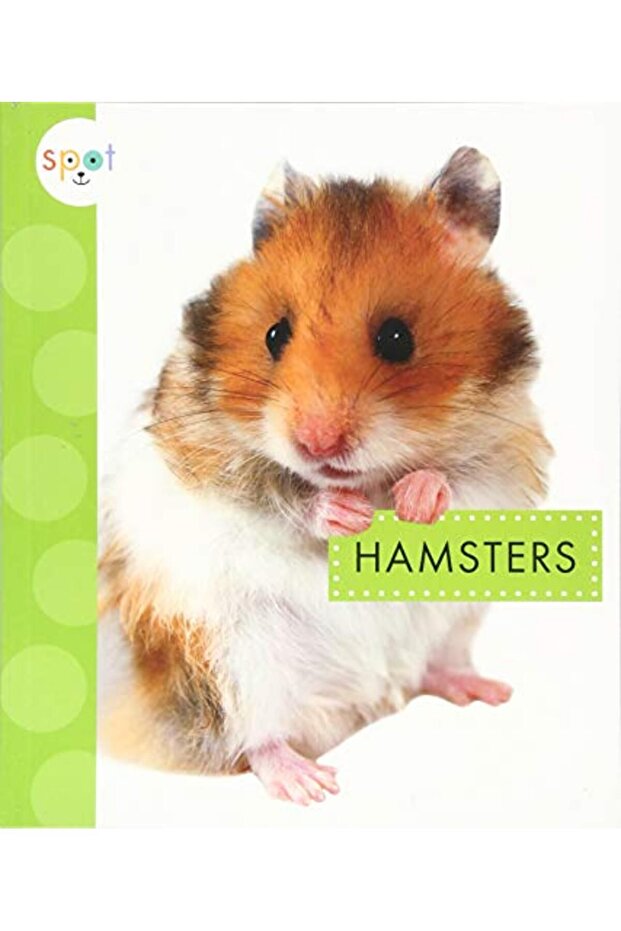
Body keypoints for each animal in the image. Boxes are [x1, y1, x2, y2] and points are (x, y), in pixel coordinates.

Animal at [99, 147, 552, 805]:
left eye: (397, 338)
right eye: (274, 334)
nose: (316, 443)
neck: (363, 475)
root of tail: (363, 706)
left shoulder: (507, 447)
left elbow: (458, 479)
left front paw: (413, 499)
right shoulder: (204, 454)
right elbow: (275, 492)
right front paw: (348, 515)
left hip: (454, 621)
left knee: (432, 669)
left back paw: (487, 691)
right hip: (234, 658)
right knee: (256, 740)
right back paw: (308, 785)